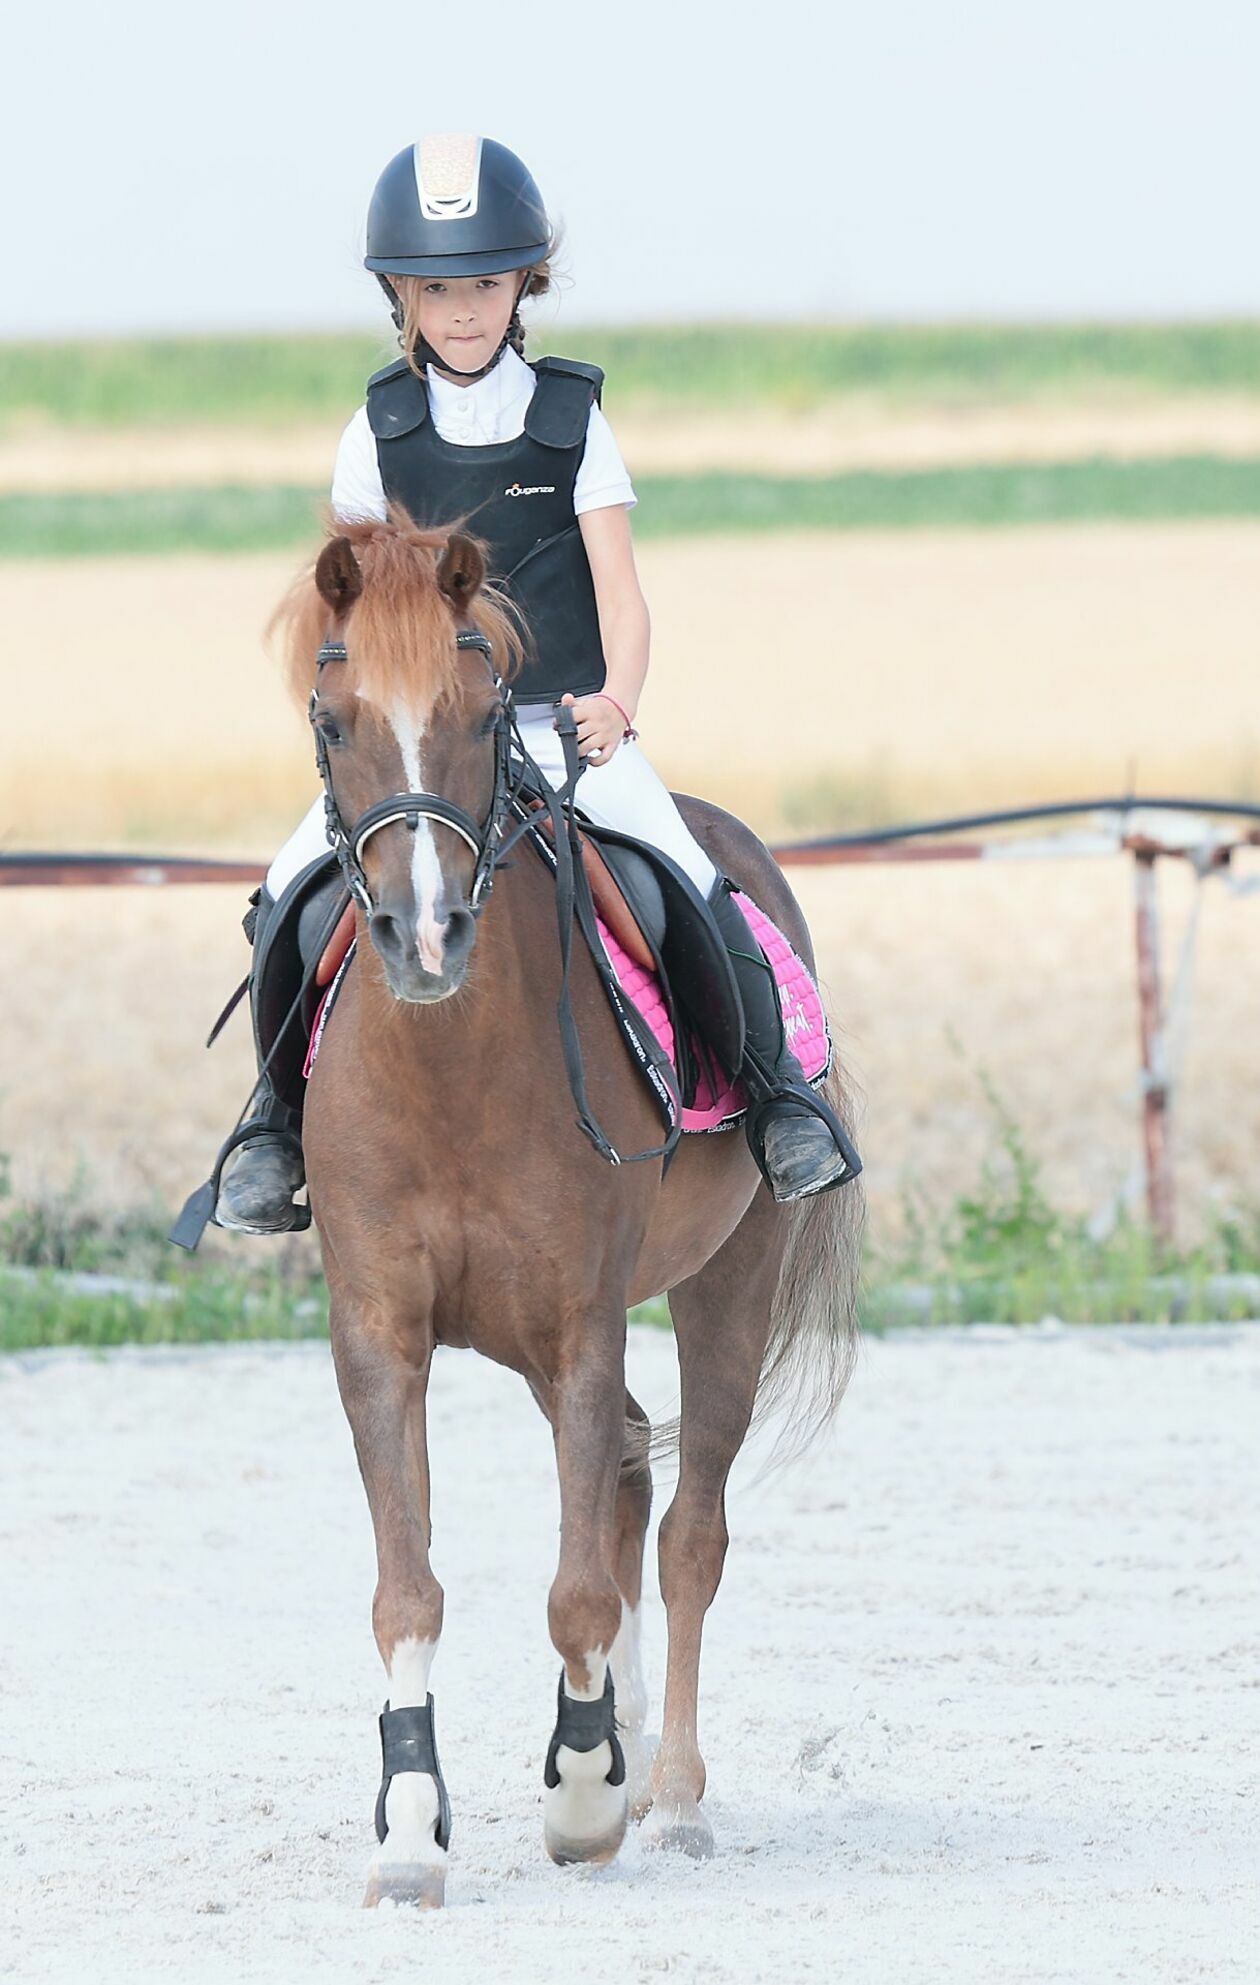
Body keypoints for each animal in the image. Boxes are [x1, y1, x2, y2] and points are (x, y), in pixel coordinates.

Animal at [271, 508, 864, 1906]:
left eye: (482, 712)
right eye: (334, 717)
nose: (425, 934)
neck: (451, 1063)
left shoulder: (582, 1320)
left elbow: (582, 1588)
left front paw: (585, 1797)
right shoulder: (381, 1335)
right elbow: (409, 1588)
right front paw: (409, 1831)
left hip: (727, 1283)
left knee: (688, 1524)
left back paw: (671, 1792)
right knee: (635, 1477)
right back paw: (634, 1756)